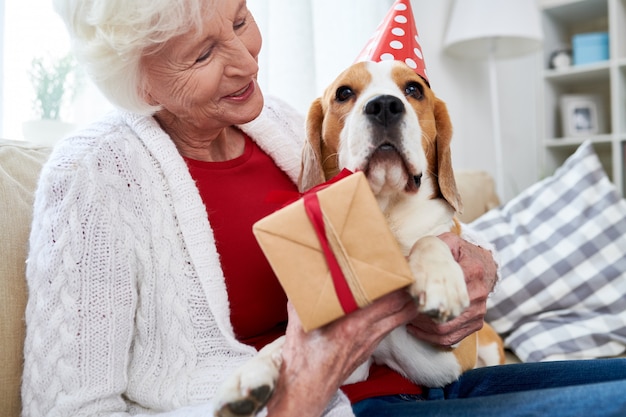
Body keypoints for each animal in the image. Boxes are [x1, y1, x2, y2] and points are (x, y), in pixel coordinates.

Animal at [214, 60, 502, 416]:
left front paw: (439, 280)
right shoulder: (358, 362)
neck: (384, 212)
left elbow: (428, 242)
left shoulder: (446, 357)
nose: (384, 106)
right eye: (344, 93)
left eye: (414, 89)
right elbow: (286, 346)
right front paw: (253, 372)